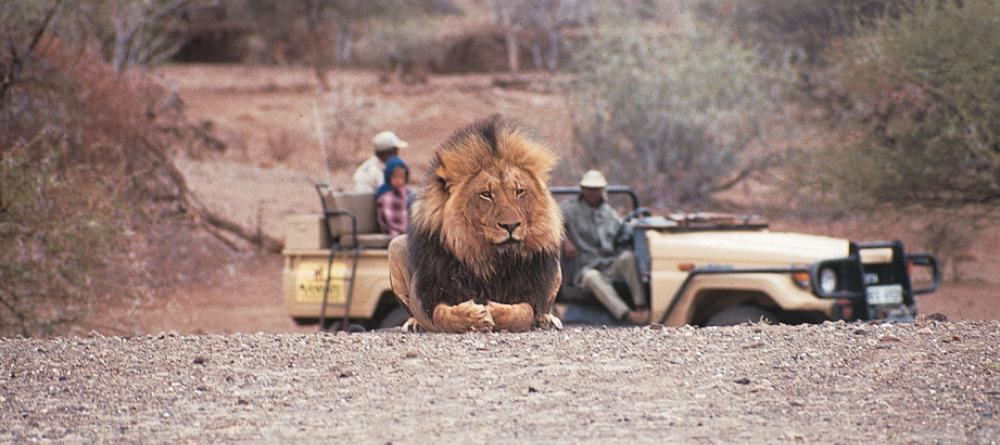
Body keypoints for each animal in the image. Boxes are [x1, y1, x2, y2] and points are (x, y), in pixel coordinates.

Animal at [388, 116, 564, 333]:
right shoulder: (432, 295)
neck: (490, 261)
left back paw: (548, 320)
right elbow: (441, 316)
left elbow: (524, 313)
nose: (511, 225)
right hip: (394, 245)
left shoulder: (530, 292)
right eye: (486, 194)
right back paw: (413, 324)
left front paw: (495, 310)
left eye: (520, 192)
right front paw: (472, 317)